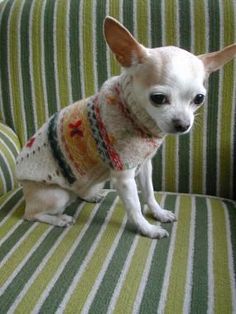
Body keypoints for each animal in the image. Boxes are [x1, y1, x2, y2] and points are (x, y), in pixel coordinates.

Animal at [16, 16, 236, 238]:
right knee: (31, 215)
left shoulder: (144, 165)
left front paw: (158, 213)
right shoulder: (124, 177)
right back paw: (59, 219)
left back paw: (90, 195)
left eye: (199, 99)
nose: (183, 124)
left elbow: (149, 193)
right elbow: (135, 207)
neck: (133, 113)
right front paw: (148, 229)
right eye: (158, 98)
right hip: (56, 195)